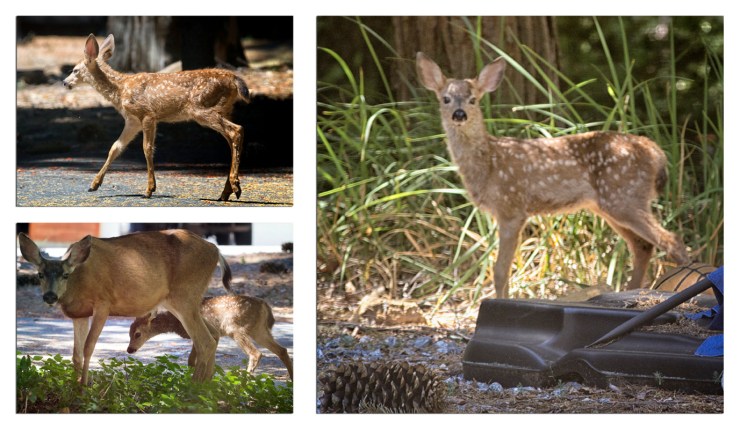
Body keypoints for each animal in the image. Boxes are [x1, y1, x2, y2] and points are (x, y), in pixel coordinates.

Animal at [17, 229, 233, 385]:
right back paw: (207, 385)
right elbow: (76, 354)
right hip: (186, 301)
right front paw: (72, 387)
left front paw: (84, 387)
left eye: (65, 275)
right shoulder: (79, 314)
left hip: (185, 296)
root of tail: (216, 250)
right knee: (214, 334)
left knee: (205, 341)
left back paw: (193, 389)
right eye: (40, 275)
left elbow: (88, 347)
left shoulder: (103, 303)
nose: (50, 296)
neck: (79, 282)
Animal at [62, 34, 250, 201]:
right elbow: (115, 147)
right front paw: (94, 184)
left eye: (75, 70)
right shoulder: (132, 121)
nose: (64, 82)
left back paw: (235, 187)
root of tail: (235, 79)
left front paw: (149, 190)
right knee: (231, 139)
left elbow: (147, 148)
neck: (121, 90)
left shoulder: (147, 114)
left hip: (202, 108)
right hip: (224, 109)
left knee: (237, 130)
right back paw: (226, 192)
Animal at [127, 295, 293, 380]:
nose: (130, 349)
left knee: (256, 353)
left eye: (137, 334)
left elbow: (193, 359)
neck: (176, 321)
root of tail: (265, 305)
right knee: (282, 350)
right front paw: (209, 380)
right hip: (259, 330)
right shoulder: (213, 335)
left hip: (235, 328)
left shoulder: (210, 332)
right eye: (129, 332)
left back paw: (243, 381)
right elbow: (202, 359)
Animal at [416, 52, 690, 299]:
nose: (459, 114)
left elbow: (501, 271)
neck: (489, 163)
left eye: (473, 99)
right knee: (643, 245)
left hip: (624, 196)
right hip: (610, 205)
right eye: (446, 99)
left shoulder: (512, 209)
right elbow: (504, 270)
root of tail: (655, 152)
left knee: (671, 240)